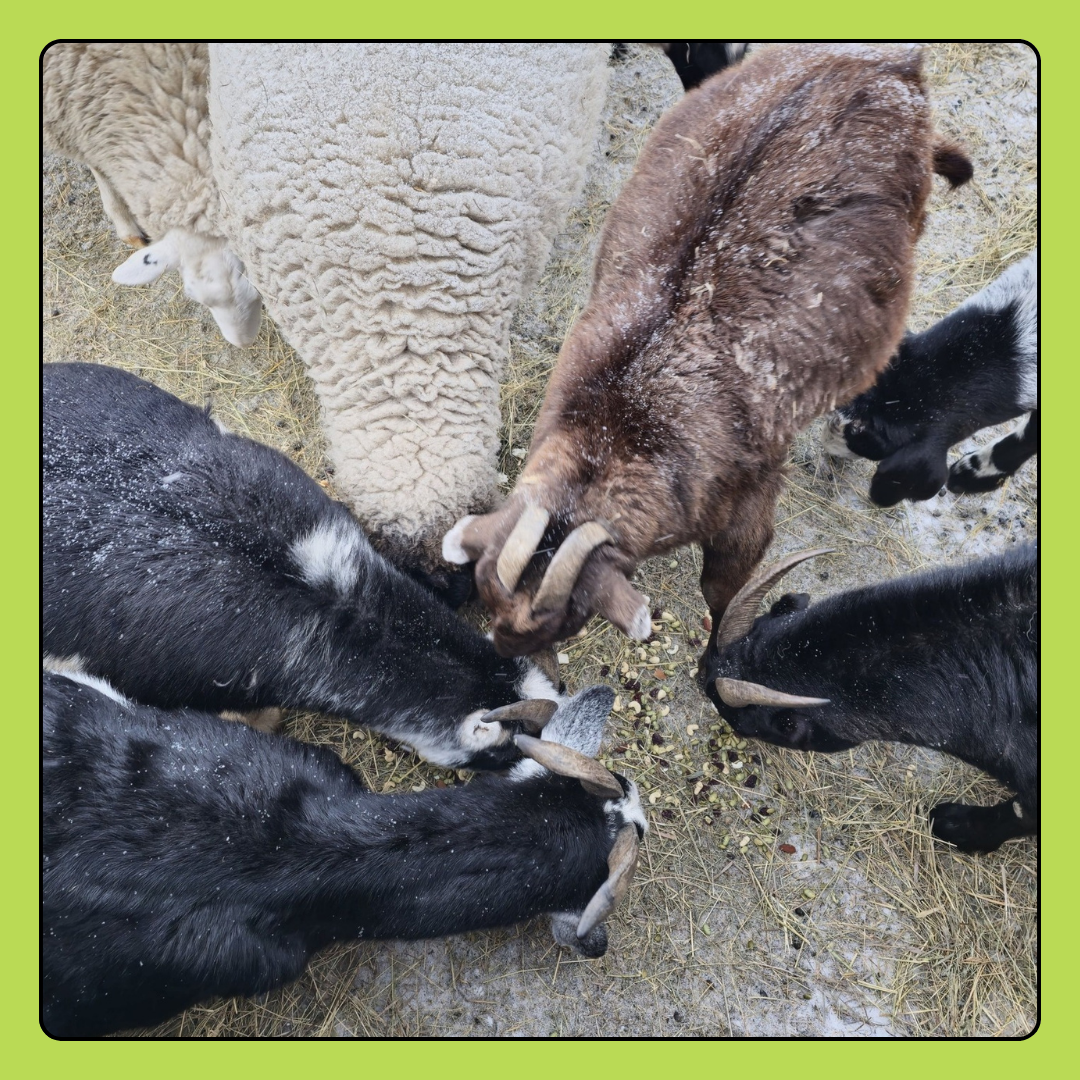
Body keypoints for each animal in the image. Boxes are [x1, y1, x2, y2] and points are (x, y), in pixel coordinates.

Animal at [443, 43, 973, 658]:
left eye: (569, 617)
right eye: (485, 597)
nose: (510, 656)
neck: (625, 413)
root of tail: (885, 60)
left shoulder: (747, 500)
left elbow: (722, 591)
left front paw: (719, 657)